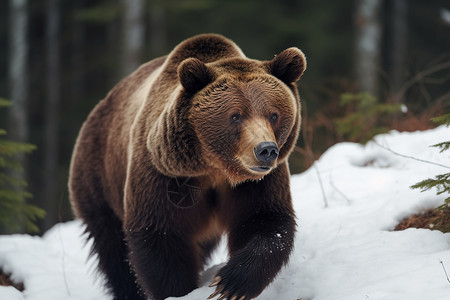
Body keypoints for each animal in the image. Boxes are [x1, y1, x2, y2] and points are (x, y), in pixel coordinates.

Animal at [69, 34, 306, 300]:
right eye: (235, 116)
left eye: (273, 114)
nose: (266, 150)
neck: (214, 168)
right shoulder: (164, 175)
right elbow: (160, 238)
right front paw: (178, 290)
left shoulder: (258, 182)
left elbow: (265, 220)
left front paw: (230, 282)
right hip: (98, 177)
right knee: (112, 248)